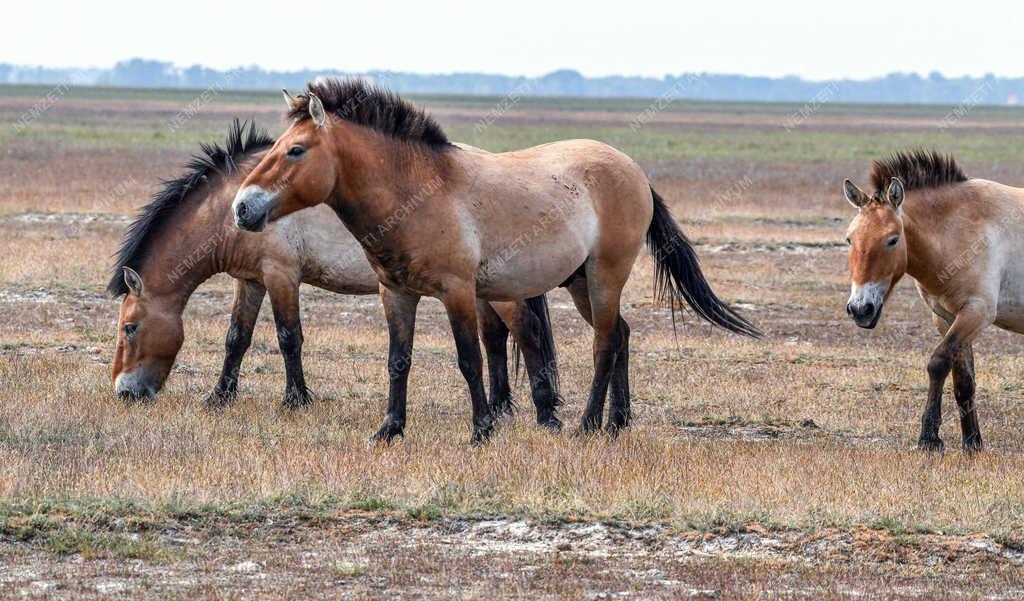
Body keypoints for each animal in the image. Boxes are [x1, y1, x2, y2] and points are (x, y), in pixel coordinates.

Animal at [108, 119, 565, 430]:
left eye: (130, 327)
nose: (125, 393)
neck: (229, 208)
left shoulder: (281, 275)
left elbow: (288, 338)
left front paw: (295, 401)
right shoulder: (250, 280)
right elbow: (236, 338)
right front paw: (219, 397)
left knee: (526, 333)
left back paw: (545, 415)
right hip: (482, 290)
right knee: (495, 338)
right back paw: (501, 409)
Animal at [232, 79, 761, 444]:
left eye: (295, 150)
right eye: (274, 147)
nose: (242, 207)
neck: (418, 191)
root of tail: (633, 170)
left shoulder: (457, 291)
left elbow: (470, 360)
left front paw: (482, 430)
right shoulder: (395, 292)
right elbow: (398, 361)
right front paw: (389, 430)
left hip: (605, 274)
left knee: (605, 344)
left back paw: (588, 425)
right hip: (579, 283)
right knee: (622, 336)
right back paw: (617, 423)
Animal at [839, 150, 1024, 450]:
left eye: (892, 240)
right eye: (849, 239)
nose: (860, 309)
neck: (957, 230)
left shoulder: (976, 313)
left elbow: (938, 363)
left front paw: (929, 438)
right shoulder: (946, 317)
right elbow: (964, 381)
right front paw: (972, 443)